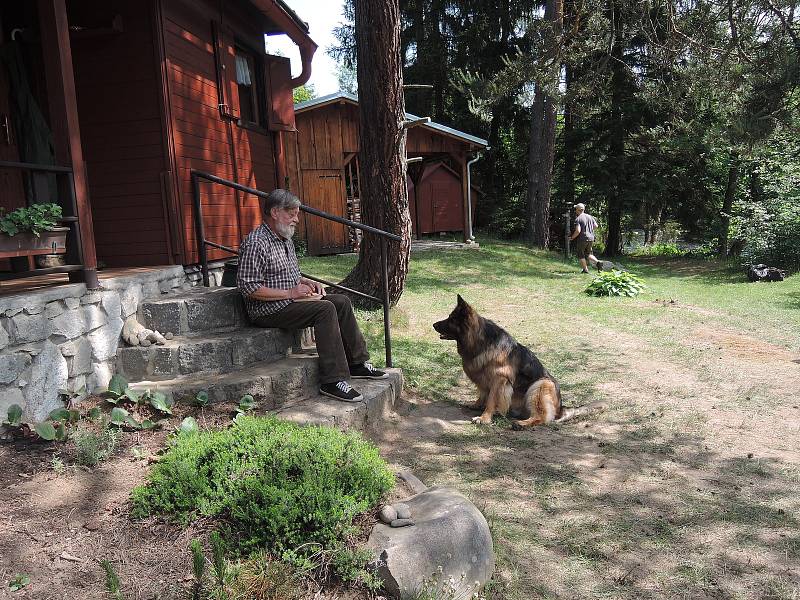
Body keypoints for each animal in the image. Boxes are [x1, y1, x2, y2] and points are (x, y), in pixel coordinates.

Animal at [434, 294, 604, 426]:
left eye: (451, 319)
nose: (433, 324)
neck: (482, 341)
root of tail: (561, 409)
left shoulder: (500, 379)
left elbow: (491, 400)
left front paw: (485, 418)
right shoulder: (483, 376)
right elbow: (483, 393)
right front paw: (476, 405)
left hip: (541, 385)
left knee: (541, 418)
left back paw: (521, 424)